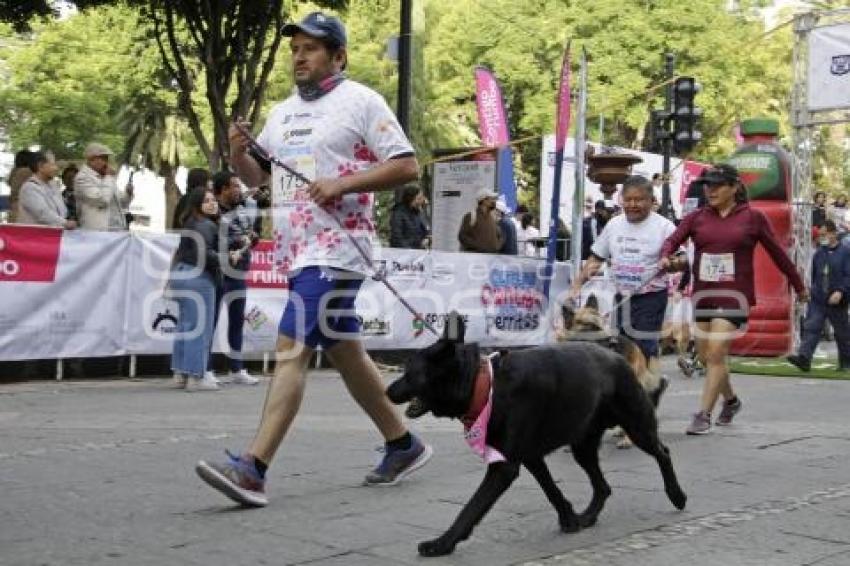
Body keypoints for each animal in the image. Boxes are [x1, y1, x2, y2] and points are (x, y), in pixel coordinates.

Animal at [384, 316, 684, 560]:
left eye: (409, 373)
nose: (387, 391)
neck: (485, 384)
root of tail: (615, 354)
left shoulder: (504, 467)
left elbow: (471, 508)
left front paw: (443, 543)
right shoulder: (529, 456)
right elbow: (551, 490)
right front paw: (569, 518)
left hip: (637, 427)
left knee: (663, 453)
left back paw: (677, 495)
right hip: (582, 446)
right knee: (603, 486)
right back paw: (588, 516)